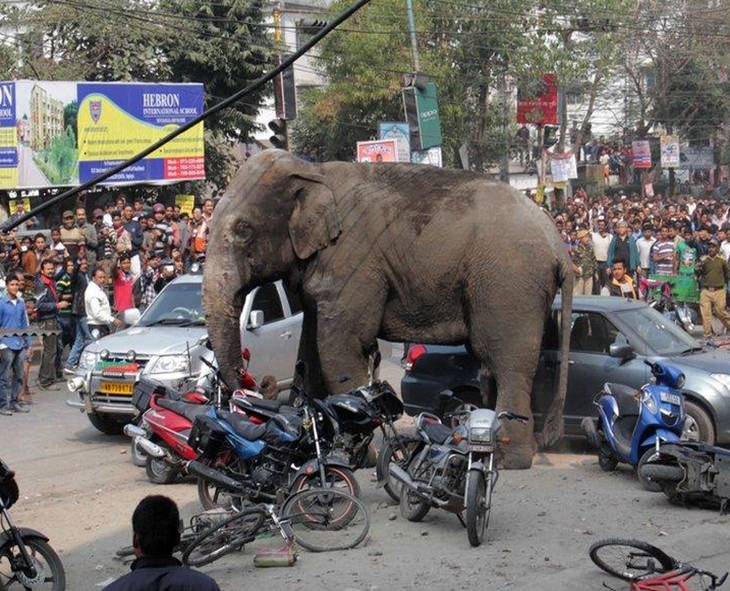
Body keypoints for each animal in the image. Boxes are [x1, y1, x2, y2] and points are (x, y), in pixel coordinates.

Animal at [203, 150, 573, 468]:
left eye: (242, 230)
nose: (257, 382)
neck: (313, 171)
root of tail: (559, 245)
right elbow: (310, 349)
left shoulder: (353, 264)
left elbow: (341, 343)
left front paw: (356, 455)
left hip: (508, 284)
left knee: (505, 361)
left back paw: (510, 458)